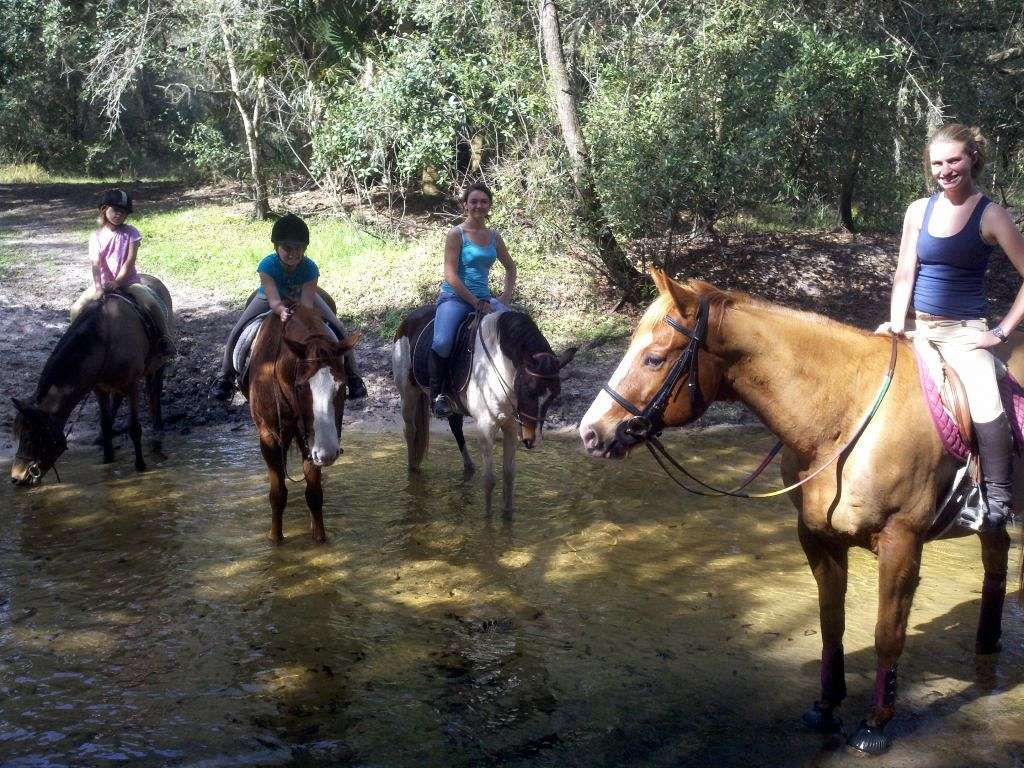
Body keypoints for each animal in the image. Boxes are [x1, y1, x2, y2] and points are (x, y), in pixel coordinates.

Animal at [12, 274, 173, 487]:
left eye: (31, 438)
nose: (16, 478)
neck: (106, 339)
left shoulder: (132, 384)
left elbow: (134, 428)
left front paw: (140, 467)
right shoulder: (99, 388)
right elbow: (104, 424)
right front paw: (108, 460)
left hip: (157, 366)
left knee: (154, 393)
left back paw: (157, 430)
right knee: (119, 399)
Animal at [243, 303, 360, 544]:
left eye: (342, 385)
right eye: (301, 387)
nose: (328, 453)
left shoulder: (312, 440)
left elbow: (314, 494)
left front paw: (320, 539)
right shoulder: (270, 438)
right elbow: (278, 495)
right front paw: (275, 540)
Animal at [393, 305, 577, 512]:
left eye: (554, 395)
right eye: (527, 389)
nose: (533, 439)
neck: (499, 364)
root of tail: (409, 319)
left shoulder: (512, 426)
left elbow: (509, 476)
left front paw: (507, 515)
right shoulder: (486, 427)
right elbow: (489, 480)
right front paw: (488, 520)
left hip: (452, 405)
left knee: (456, 430)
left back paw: (469, 467)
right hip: (408, 395)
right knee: (410, 431)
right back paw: (412, 471)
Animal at [581, 270, 1019, 757]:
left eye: (654, 358)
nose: (591, 433)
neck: (842, 420)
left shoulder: (901, 542)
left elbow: (887, 634)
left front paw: (875, 723)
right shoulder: (816, 537)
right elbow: (831, 624)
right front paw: (826, 706)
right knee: (996, 560)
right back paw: (987, 643)